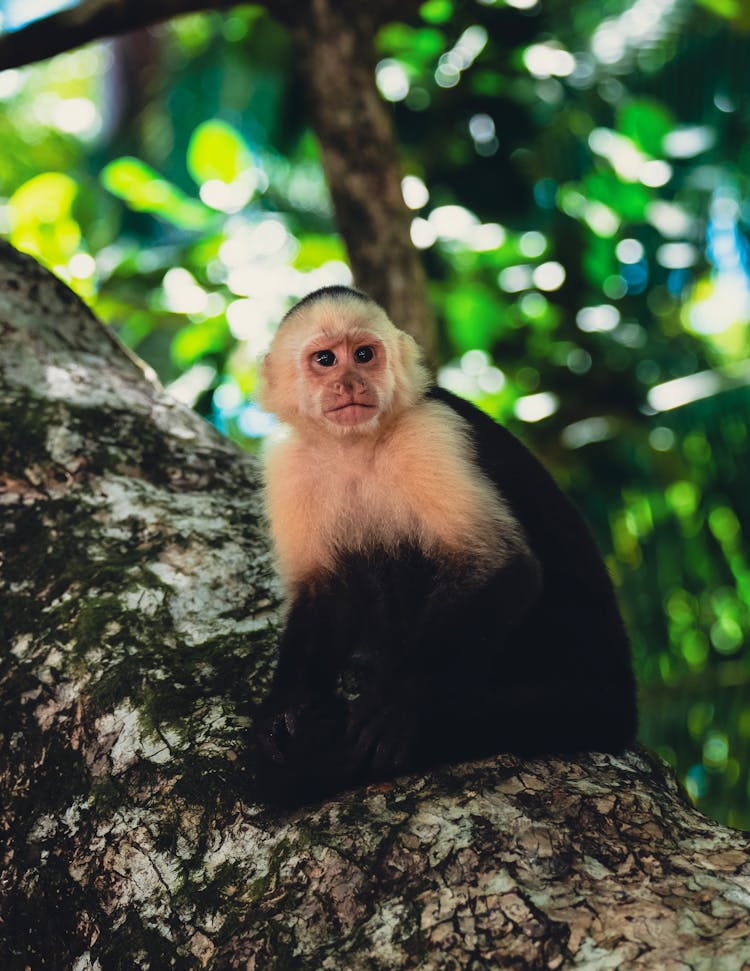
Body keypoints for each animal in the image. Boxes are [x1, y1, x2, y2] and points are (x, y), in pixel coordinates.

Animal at [250, 284, 636, 808]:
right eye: (325, 359)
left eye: (364, 355)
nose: (350, 383)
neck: (353, 445)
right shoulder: (289, 464)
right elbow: (323, 589)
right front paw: (286, 704)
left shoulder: (432, 434)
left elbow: (502, 565)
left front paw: (402, 698)